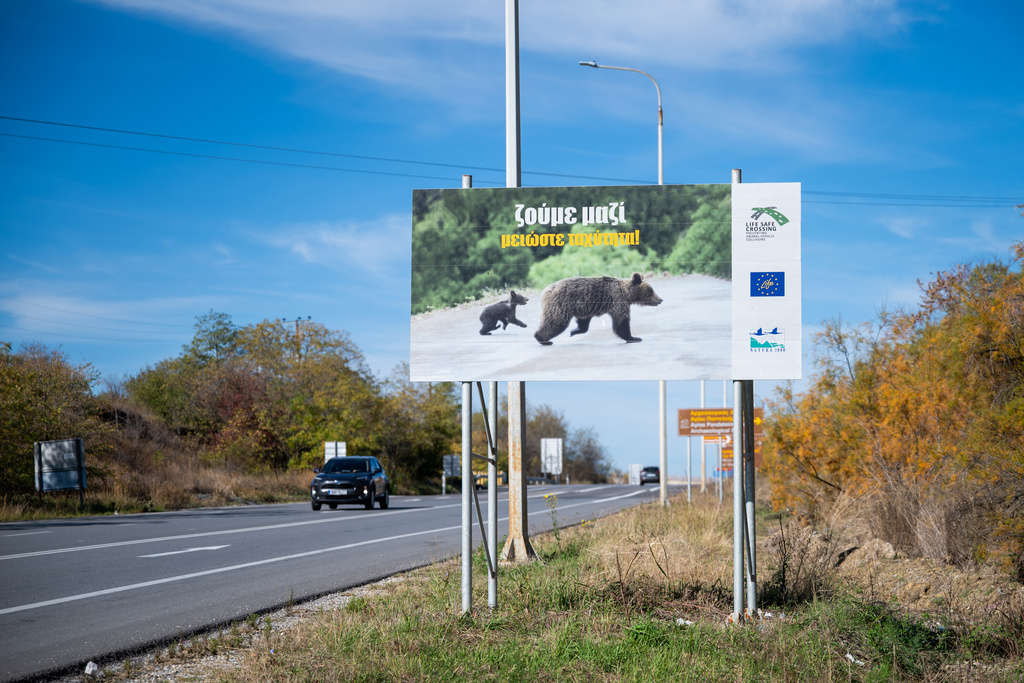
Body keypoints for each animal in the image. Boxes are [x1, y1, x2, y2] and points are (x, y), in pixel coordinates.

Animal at [533, 273, 662, 345]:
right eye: (651, 291)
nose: (660, 299)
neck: (628, 294)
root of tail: (546, 290)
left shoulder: (585, 307)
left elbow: (583, 322)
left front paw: (575, 331)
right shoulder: (618, 301)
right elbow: (621, 322)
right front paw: (634, 338)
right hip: (560, 304)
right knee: (556, 322)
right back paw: (543, 339)